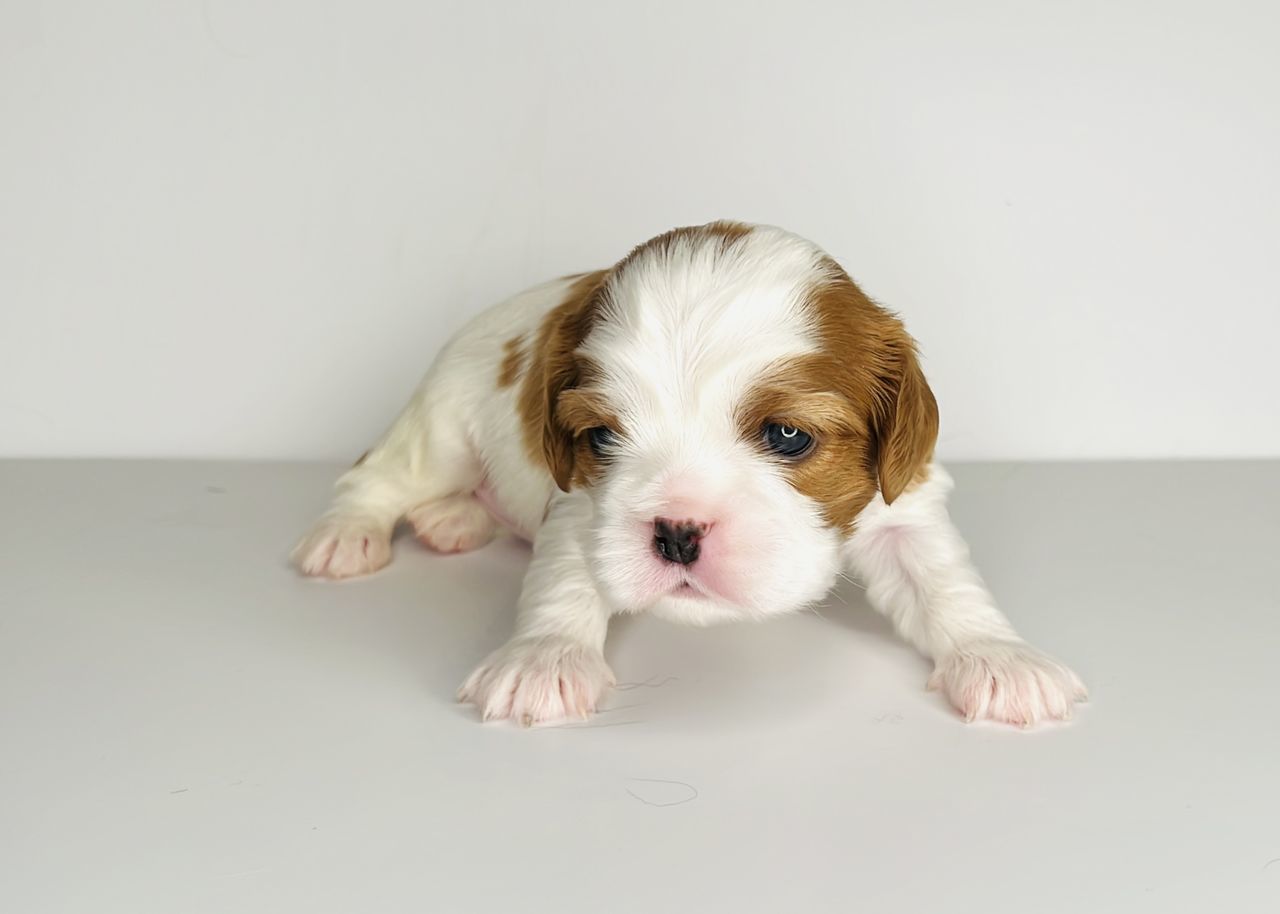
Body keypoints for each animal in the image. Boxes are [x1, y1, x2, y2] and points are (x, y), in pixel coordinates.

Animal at [294, 220, 1085, 727]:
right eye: (602, 436)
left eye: (788, 436)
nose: (676, 533)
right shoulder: (580, 505)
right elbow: (564, 578)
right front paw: (545, 657)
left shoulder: (903, 502)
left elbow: (943, 581)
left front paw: (999, 657)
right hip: (442, 426)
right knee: (377, 476)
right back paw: (346, 536)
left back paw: (454, 520)